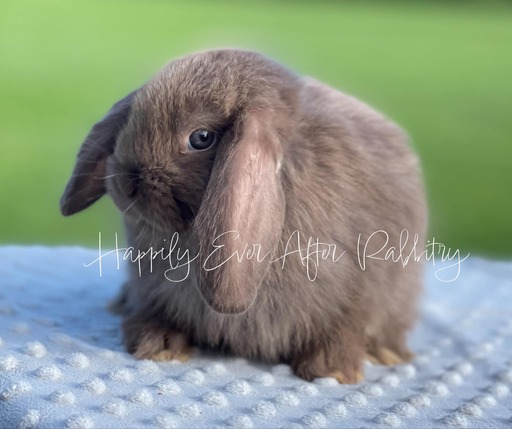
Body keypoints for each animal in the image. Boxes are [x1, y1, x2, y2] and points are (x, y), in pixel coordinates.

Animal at [61, 48, 428, 382]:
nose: (126, 183)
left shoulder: (356, 289)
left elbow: (346, 325)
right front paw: (156, 342)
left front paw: (332, 369)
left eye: (201, 138)